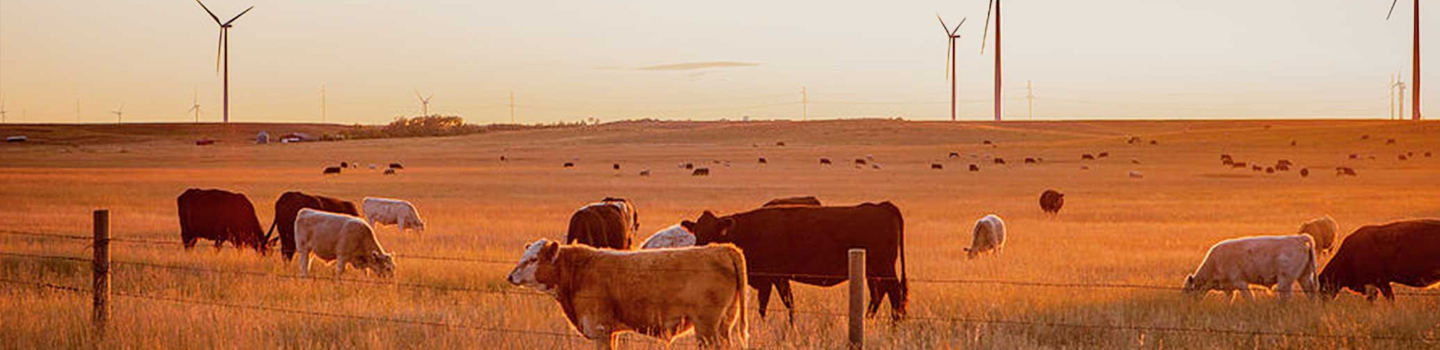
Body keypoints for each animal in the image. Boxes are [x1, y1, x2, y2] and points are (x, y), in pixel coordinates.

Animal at [506, 240, 748, 350]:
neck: (578, 270)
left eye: (533, 259)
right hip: (724, 324)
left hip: (706, 327)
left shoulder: (601, 330)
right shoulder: (610, 332)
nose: (510, 276)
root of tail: (722, 248)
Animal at [679, 201, 904, 319]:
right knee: (879, 294)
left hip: (885, 268)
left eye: (714, 234)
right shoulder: (778, 279)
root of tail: (881, 205)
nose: (697, 252)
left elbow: (769, 307)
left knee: (895, 293)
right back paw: (869, 320)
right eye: (697, 233)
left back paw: (896, 324)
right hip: (873, 272)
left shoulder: (770, 279)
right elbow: (787, 305)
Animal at [1180, 233, 1319, 302]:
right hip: (1304, 276)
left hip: (1285, 279)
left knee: (1286, 296)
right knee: (1310, 293)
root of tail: (1299, 238)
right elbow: (1229, 300)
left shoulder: (1240, 282)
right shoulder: (1228, 288)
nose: (1185, 307)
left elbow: (1249, 298)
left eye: (1187, 291)